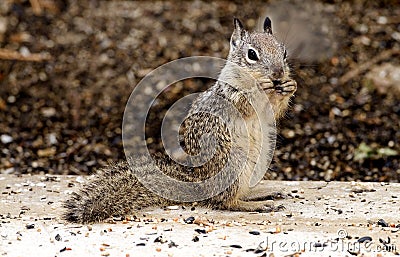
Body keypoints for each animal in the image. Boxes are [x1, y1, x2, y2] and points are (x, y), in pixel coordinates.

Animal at [64, 17, 296, 222]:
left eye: (284, 52)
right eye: (251, 54)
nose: (278, 73)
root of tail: (199, 185)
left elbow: (274, 110)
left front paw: (290, 86)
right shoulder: (229, 96)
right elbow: (246, 102)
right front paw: (261, 87)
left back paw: (261, 195)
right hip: (233, 164)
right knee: (226, 201)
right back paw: (256, 205)